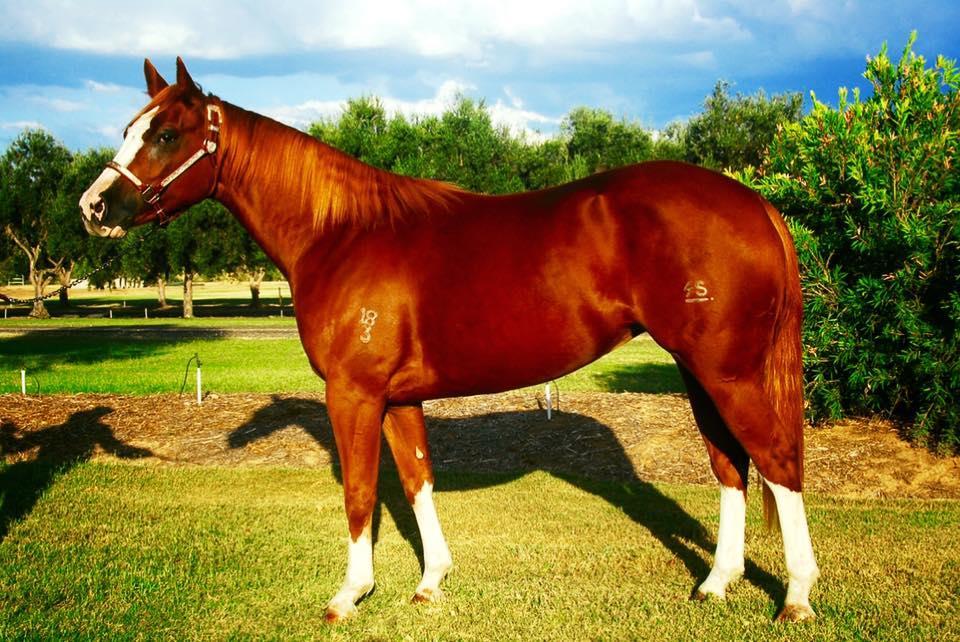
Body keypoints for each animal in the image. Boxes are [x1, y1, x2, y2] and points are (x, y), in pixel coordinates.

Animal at [80, 58, 819, 623]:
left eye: (165, 133)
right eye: (129, 128)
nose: (93, 207)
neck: (341, 233)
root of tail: (757, 203)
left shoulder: (353, 395)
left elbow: (359, 494)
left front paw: (349, 595)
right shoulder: (399, 399)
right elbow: (416, 481)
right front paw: (430, 581)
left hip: (729, 372)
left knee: (777, 462)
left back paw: (796, 599)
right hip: (701, 371)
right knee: (731, 466)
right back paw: (716, 583)